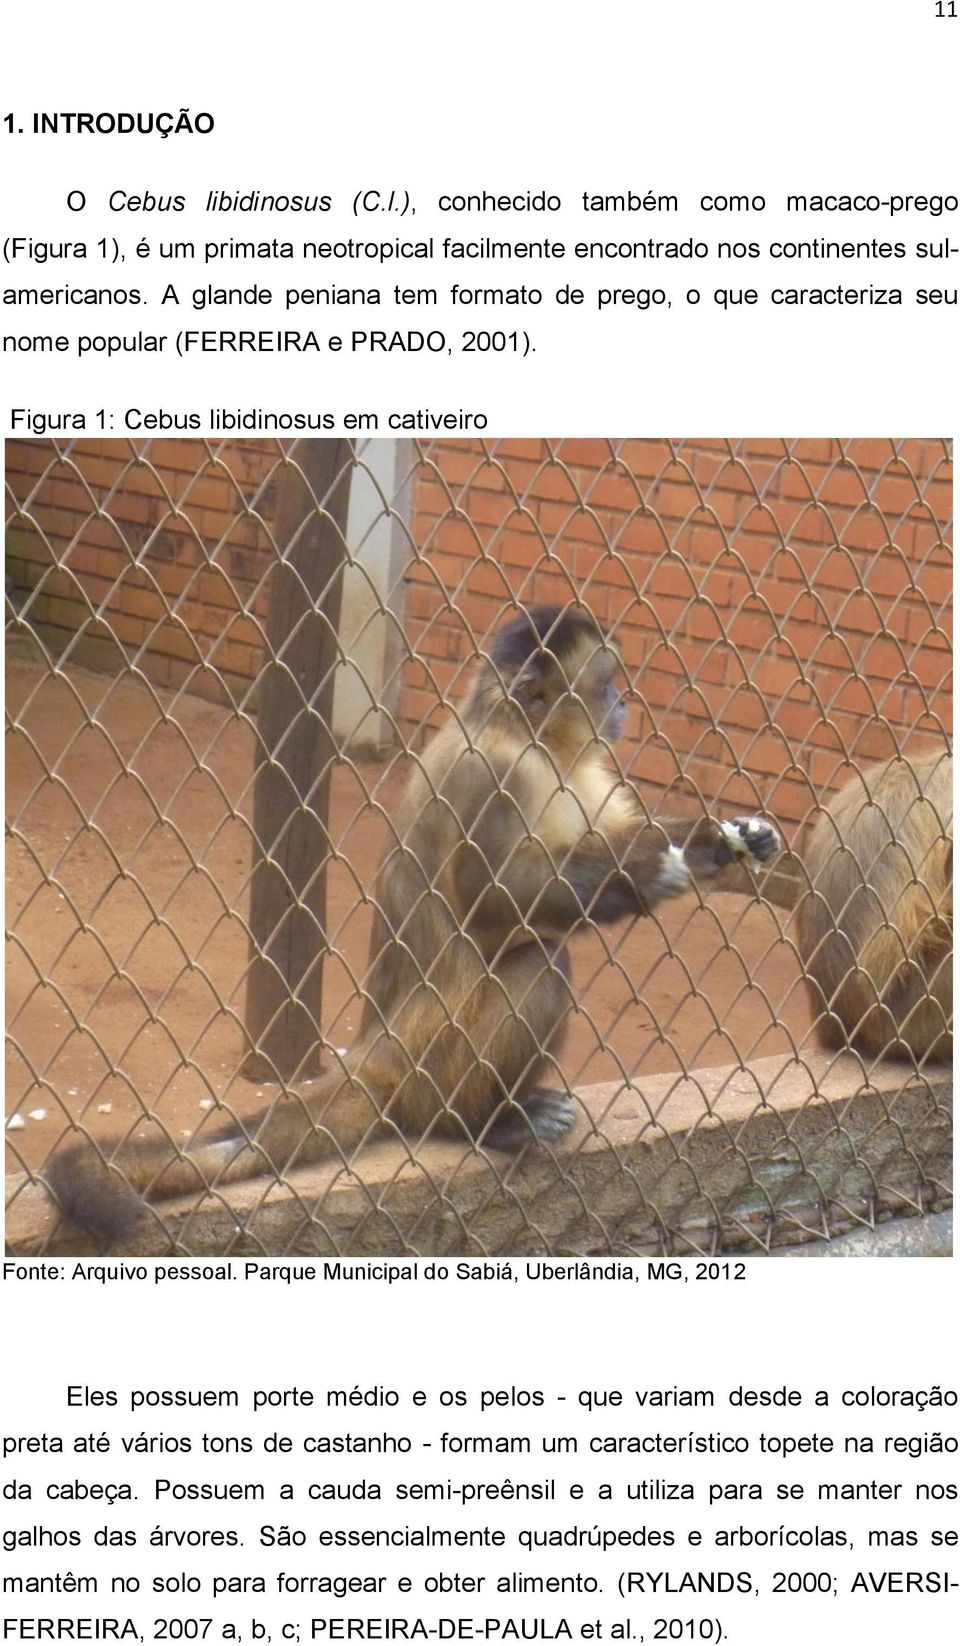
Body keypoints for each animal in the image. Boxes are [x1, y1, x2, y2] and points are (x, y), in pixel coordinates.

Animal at [41, 609, 783, 1244]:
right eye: (605, 683)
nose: (625, 704)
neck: (519, 733)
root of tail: (377, 1054)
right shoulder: (500, 775)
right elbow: (497, 899)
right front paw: (652, 876)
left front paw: (723, 843)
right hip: (437, 1063)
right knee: (540, 961)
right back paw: (481, 1123)